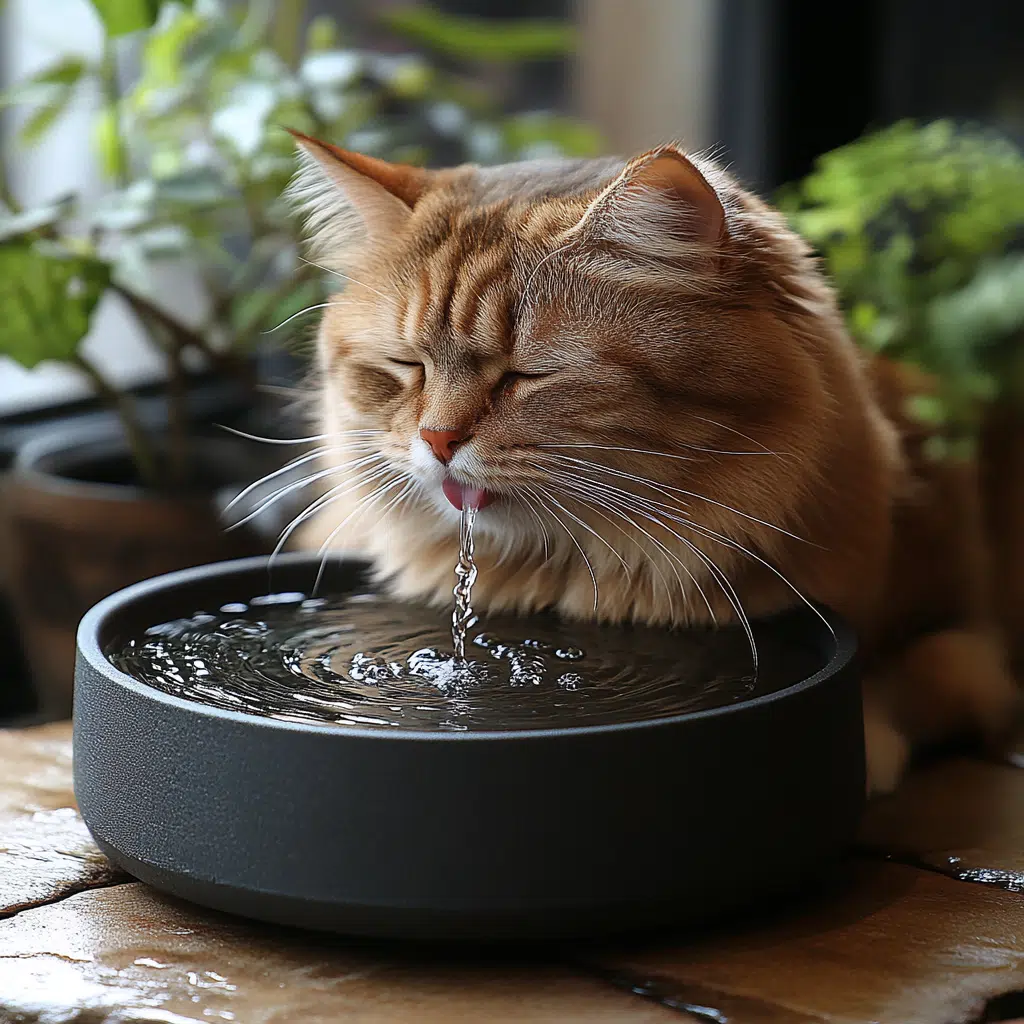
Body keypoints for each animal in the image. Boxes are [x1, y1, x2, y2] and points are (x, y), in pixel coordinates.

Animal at [284, 134, 1019, 790]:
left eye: (528, 376)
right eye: (406, 365)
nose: (437, 440)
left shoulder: (962, 626)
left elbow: (925, 671)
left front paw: (870, 736)